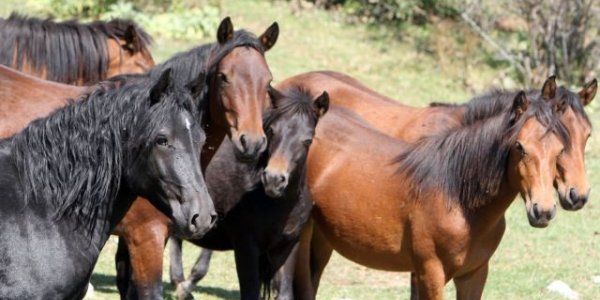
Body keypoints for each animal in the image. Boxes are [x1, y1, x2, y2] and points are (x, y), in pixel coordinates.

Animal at [166, 87, 328, 300]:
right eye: (272, 131)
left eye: (308, 140)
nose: (273, 179)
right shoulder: (246, 247)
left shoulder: (287, 247)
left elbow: (284, 293)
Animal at [292, 92, 572, 300]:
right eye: (519, 147)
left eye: (560, 150)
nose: (543, 211)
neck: (458, 198)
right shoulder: (431, 273)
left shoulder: (474, 275)